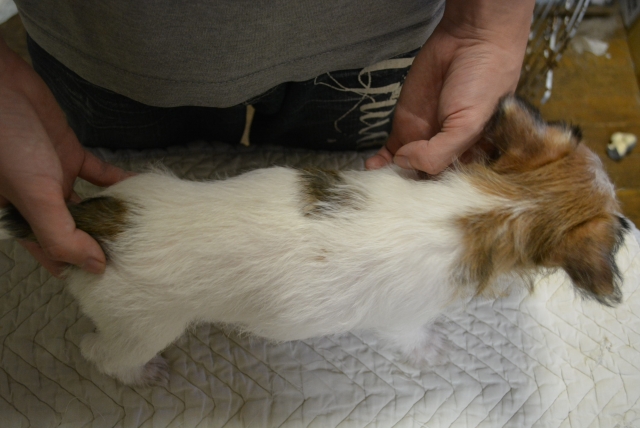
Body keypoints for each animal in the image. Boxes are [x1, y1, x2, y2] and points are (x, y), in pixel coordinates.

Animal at [0, 95, 630, 386]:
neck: (493, 205)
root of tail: (92, 222)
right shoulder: (403, 318)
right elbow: (413, 338)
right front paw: (431, 354)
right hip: (142, 327)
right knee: (99, 353)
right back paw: (140, 374)